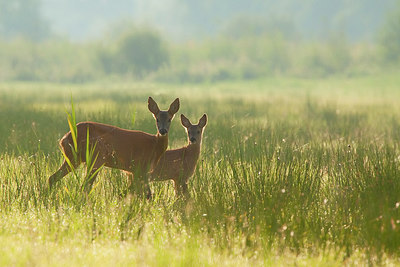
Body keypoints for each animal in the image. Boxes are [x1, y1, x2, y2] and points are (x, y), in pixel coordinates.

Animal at [48, 97, 180, 198]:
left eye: (169, 119)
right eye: (157, 119)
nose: (163, 131)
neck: (154, 146)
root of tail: (65, 138)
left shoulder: (132, 171)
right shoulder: (140, 167)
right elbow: (146, 194)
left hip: (73, 158)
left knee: (52, 177)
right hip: (96, 157)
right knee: (85, 185)